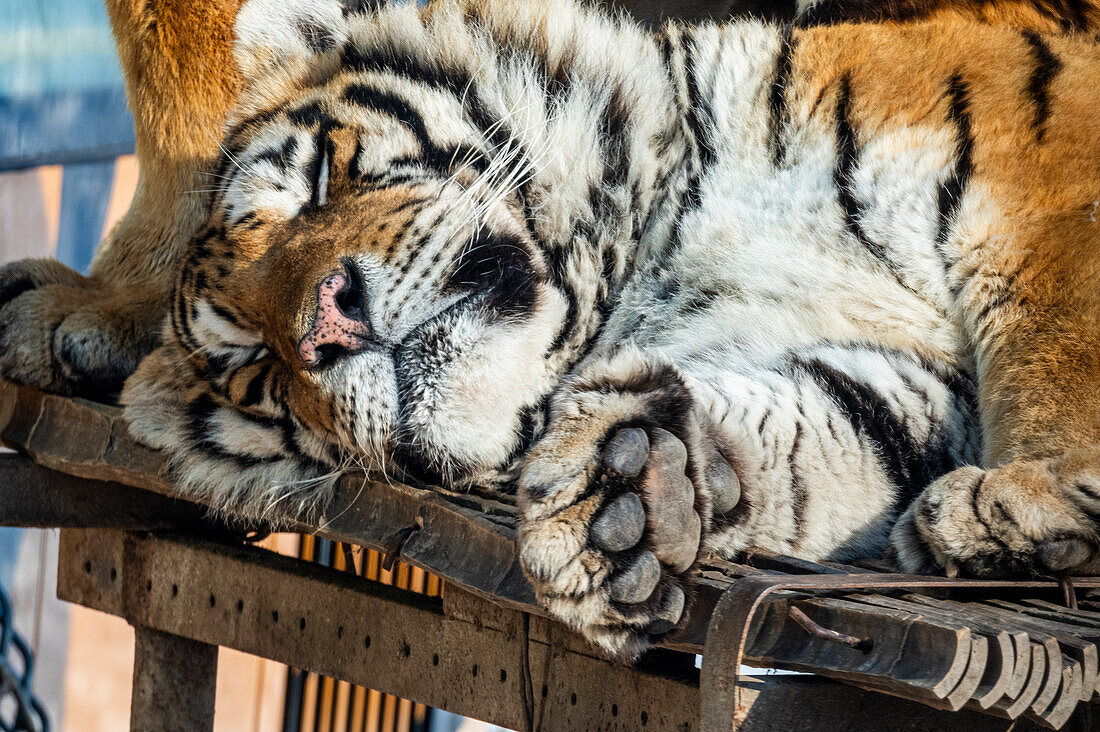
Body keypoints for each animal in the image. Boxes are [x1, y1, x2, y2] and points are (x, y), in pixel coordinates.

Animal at [2, 0, 1100, 656]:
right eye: (254, 369)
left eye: (316, 180)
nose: (324, 325)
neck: (656, 255)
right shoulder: (891, 372)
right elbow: (834, 425)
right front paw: (630, 494)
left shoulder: (1040, 182)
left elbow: (1054, 340)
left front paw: (1022, 496)